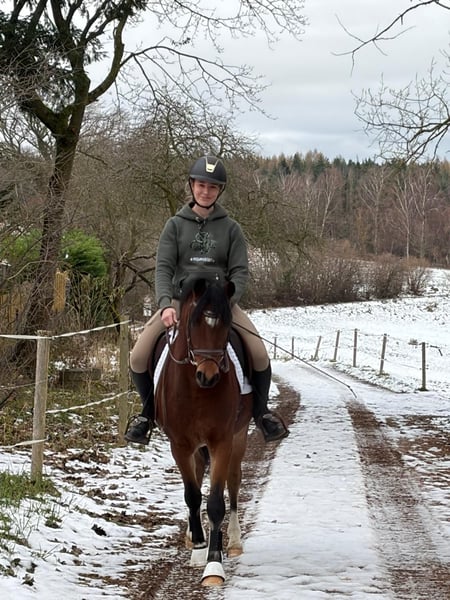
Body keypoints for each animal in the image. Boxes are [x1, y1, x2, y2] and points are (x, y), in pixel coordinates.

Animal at [154, 276, 253, 586]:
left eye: (226, 326)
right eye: (193, 323)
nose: (207, 376)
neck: (196, 392)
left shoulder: (222, 442)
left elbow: (216, 502)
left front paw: (213, 564)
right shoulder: (179, 444)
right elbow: (193, 495)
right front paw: (198, 549)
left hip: (238, 438)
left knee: (233, 483)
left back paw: (234, 541)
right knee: (197, 477)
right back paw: (191, 534)